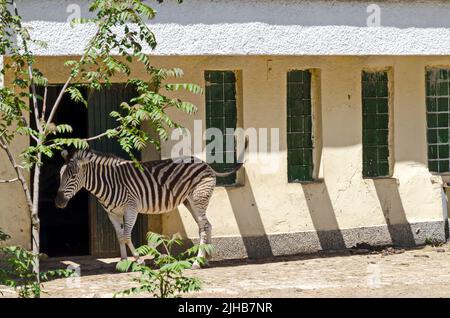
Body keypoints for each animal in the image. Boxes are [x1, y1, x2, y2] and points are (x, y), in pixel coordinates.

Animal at [55, 145, 248, 268]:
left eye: (73, 177)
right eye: (60, 175)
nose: (58, 202)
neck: (109, 183)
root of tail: (205, 163)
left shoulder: (131, 208)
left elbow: (126, 236)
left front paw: (138, 260)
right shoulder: (112, 213)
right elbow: (120, 237)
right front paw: (123, 261)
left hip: (198, 198)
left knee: (204, 227)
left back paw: (196, 262)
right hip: (190, 202)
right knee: (207, 225)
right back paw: (206, 259)